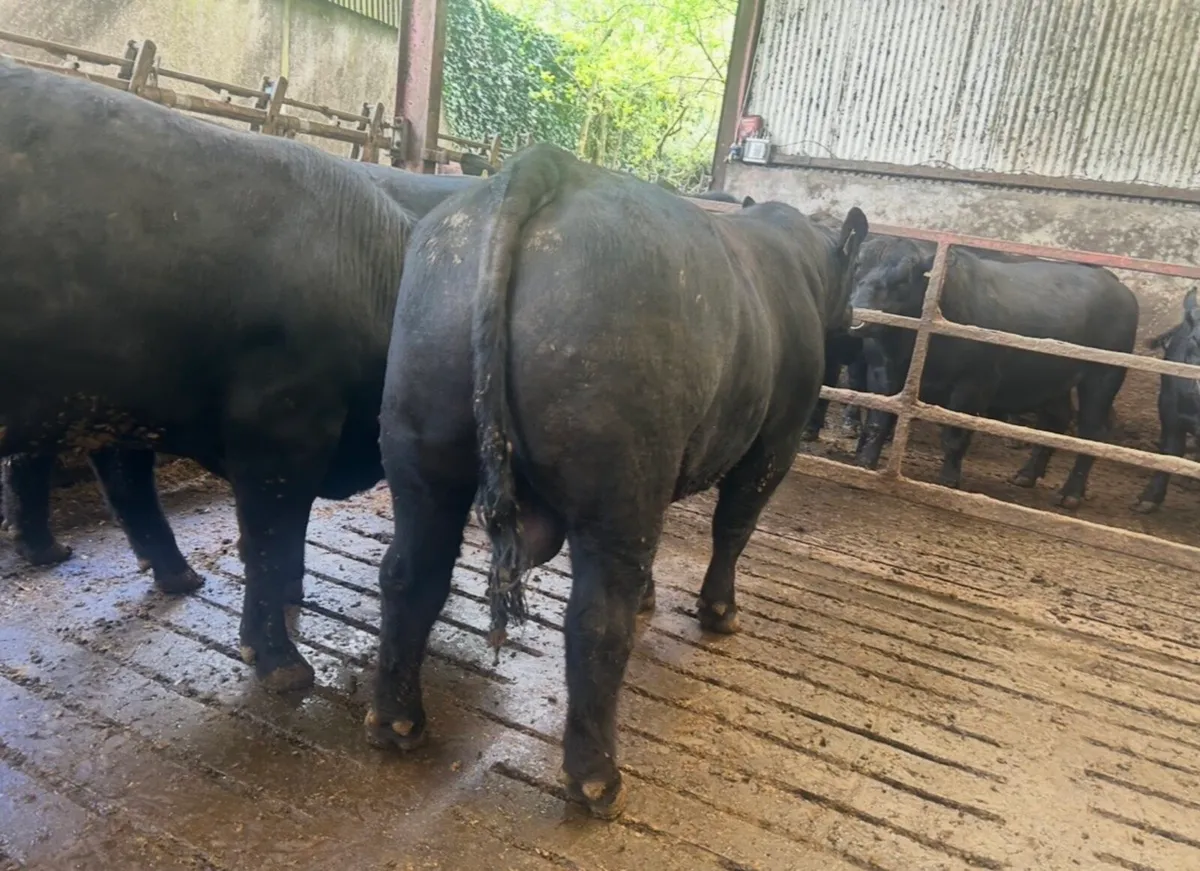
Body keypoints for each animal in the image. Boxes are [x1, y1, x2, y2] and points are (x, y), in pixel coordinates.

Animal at [367, 143, 867, 819]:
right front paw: (720, 611)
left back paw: (396, 720)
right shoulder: (774, 442)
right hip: (619, 478)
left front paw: (657, 595)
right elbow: (733, 526)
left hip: (422, 442)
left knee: (408, 571)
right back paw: (596, 778)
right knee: (597, 618)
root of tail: (546, 168)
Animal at [849, 236, 1138, 507]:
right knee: (1055, 420)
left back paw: (1071, 494)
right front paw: (866, 463)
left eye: (904, 278)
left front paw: (948, 480)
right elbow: (878, 422)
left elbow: (955, 435)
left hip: (1102, 379)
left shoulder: (973, 384)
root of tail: (1116, 283)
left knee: (1092, 432)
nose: (859, 316)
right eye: (857, 265)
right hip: (1052, 380)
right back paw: (1027, 475)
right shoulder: (882, 373)